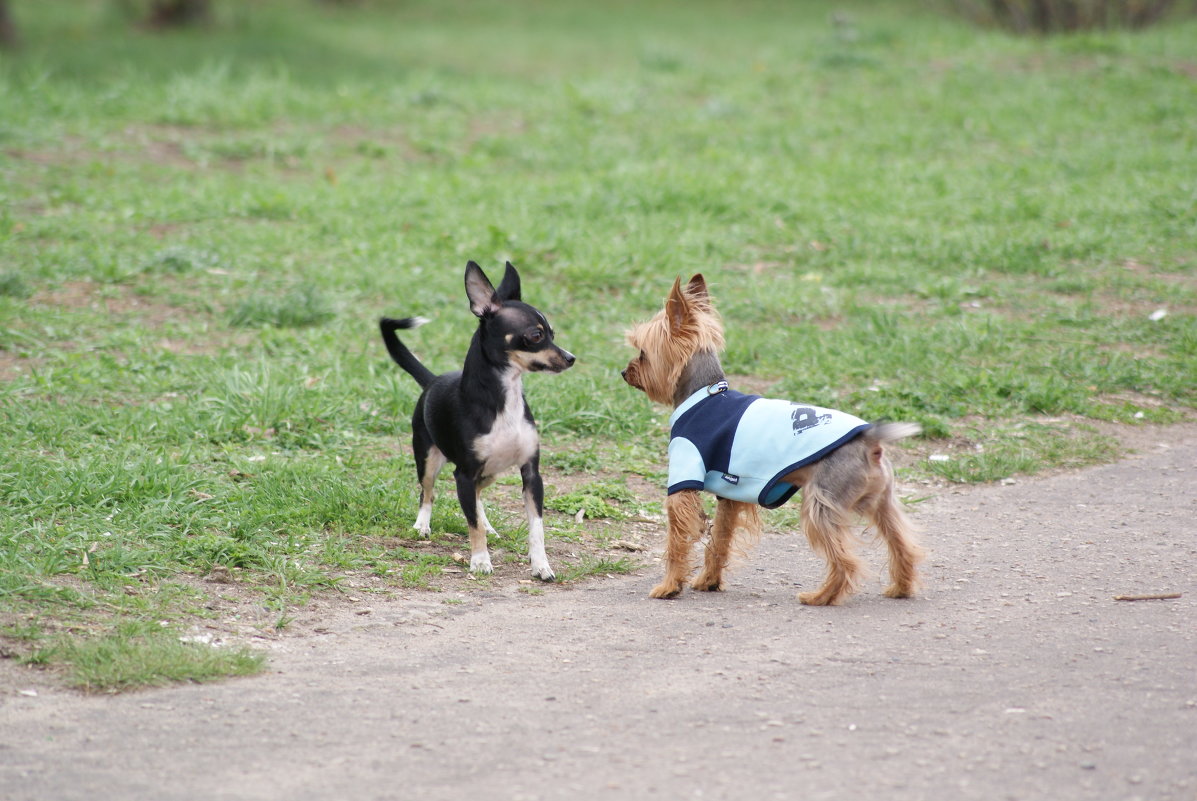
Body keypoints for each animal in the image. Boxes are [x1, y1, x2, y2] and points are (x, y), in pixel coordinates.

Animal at [622, 271, 919, 603]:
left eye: (643, 354)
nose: (624, 372)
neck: (704, 394)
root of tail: (870, 441)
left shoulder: (684, 477)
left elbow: (677, 541)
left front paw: (669, 585)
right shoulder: (729, 495)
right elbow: (720, 539)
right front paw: (709, 580)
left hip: (822, 502)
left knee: (846, 560)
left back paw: (821, 597)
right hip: (881, 503)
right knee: (903, 544)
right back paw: (900, 587)